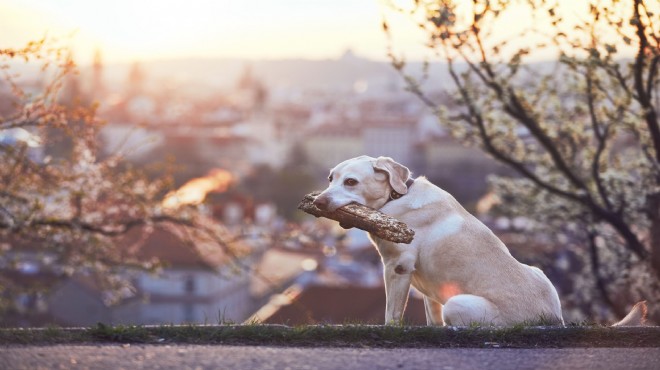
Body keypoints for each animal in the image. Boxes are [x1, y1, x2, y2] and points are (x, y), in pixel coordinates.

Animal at [312, 156, 648, 326]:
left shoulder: (397, 267)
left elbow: (391, 314)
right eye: (330, 178)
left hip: (458, 302)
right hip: (538, 272)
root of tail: (556, 320)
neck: (397, 196)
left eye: (351, 182)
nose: (318, 202)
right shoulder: (425, 287)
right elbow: (430, 317)